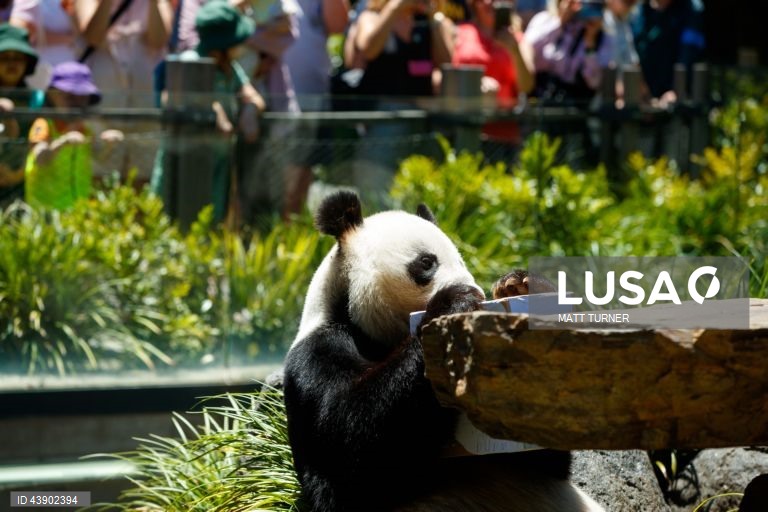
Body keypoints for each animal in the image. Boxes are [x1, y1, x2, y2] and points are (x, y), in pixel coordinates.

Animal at [283, 191, 604, 512]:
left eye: (462, 260)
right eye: (426, 262)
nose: (477, 291)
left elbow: (544, 456)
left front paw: (519, 286)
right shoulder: (316, 357)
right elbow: (351, 446)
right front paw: (454, 306)